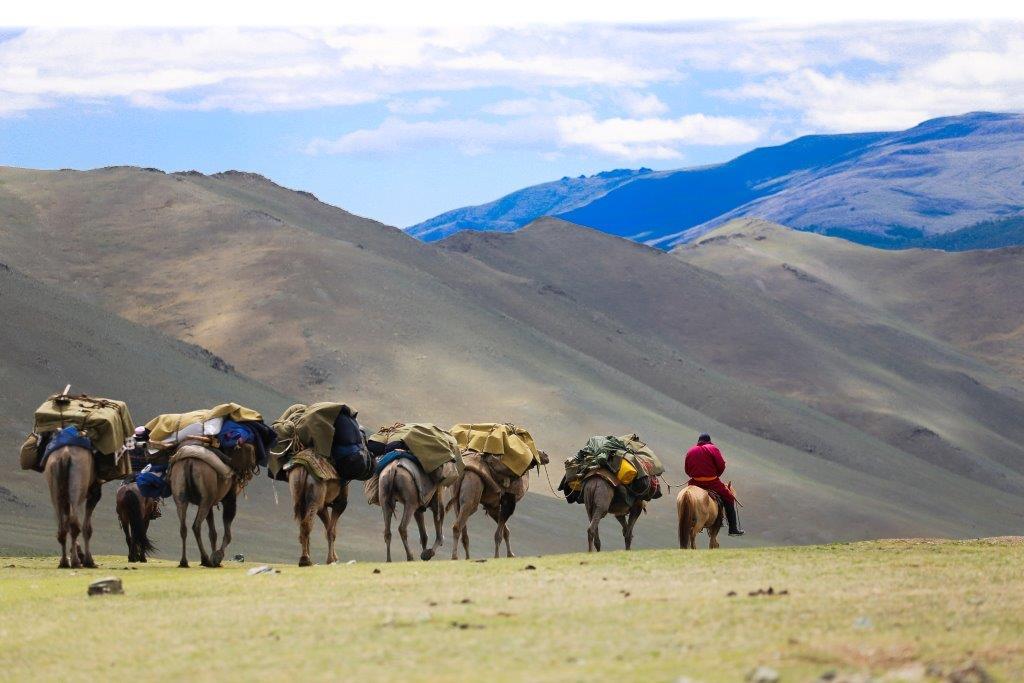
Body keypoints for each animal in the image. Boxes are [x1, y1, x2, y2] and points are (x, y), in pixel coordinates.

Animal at [169, 440, 237, 569]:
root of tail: (189, 462)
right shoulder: (230, 497)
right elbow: (227, 533)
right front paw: (217, 557)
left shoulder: (211, 504)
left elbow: (213, 533)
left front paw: (215, 555)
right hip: (206, 497)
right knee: (196, 526)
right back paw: (206, 560)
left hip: (180, 494)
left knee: (183, 527)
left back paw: (184, 562)